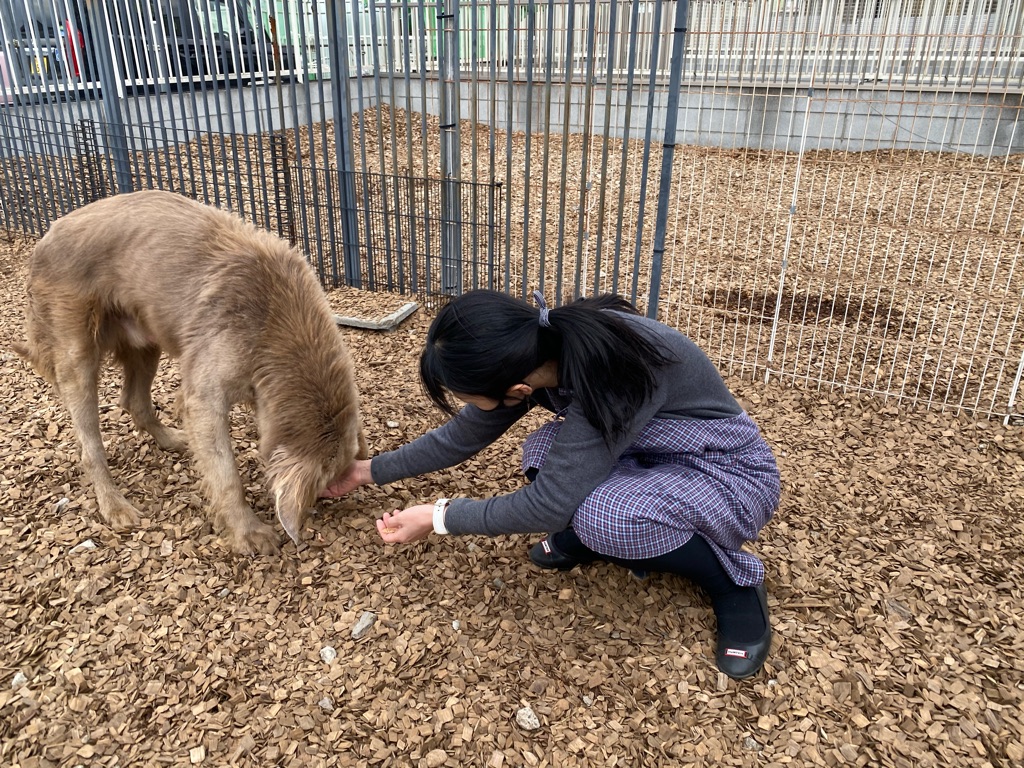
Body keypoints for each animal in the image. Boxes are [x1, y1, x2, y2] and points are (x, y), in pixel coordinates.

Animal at [15, 189, 368, 554]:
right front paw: (248, 532)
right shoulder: (204, 401)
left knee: (134, 402)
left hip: (145, 340)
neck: (275, 327)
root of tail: (45, 237)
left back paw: (173, 439)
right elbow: (227, 475)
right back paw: (115, 506)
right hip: (77, 354)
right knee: (90, 446)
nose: (320, 504)